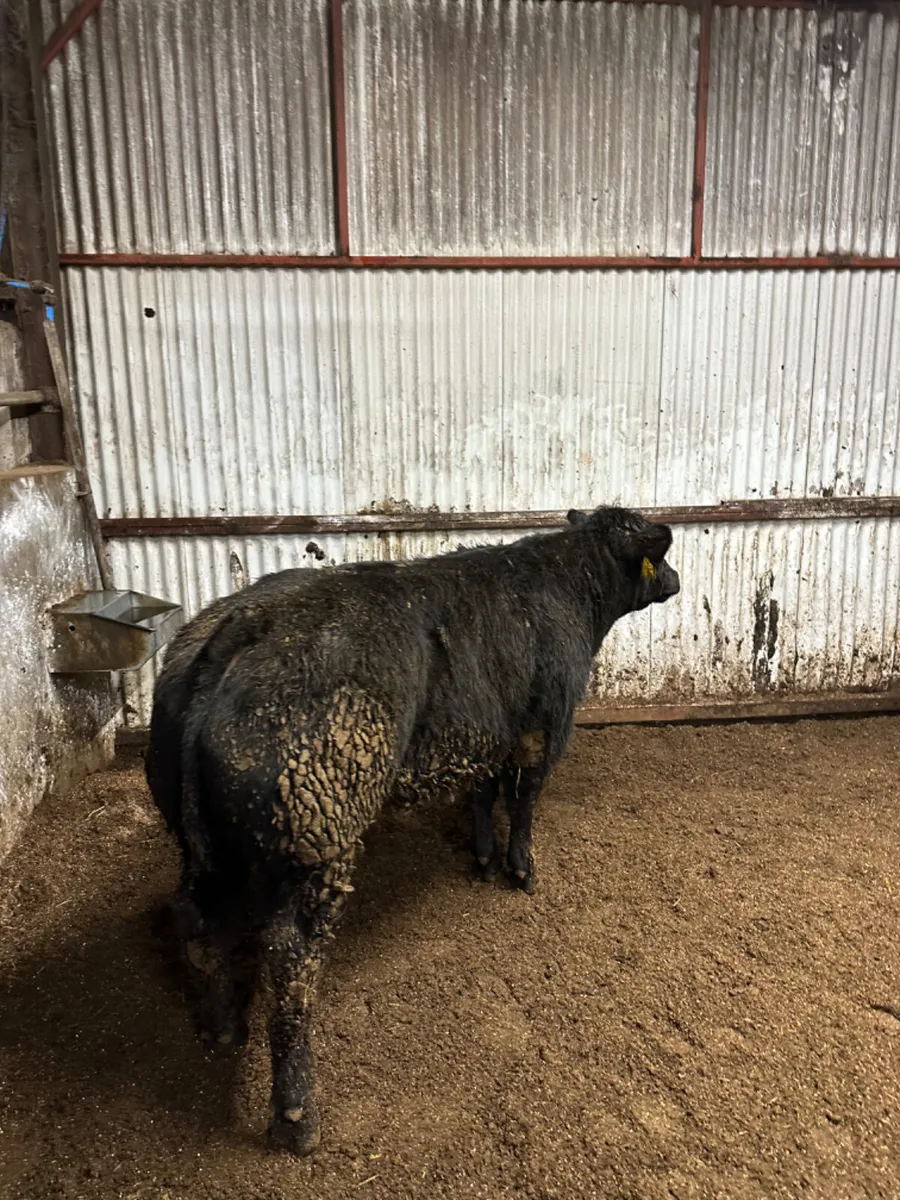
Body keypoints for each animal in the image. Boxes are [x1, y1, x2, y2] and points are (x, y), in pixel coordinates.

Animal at [146, 505, 680, 1155]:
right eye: (655, 550)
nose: (676, 580)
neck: (566, 584)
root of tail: (243, 624)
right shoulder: (542, 726)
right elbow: (524, 801)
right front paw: (521, 869)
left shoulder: (484, 732)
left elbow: (483, 793)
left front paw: (482, 858)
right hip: (318, 839)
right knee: (290, 958)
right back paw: (297, 1116)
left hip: (194, 837)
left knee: (199, 921)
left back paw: (223, 1029)